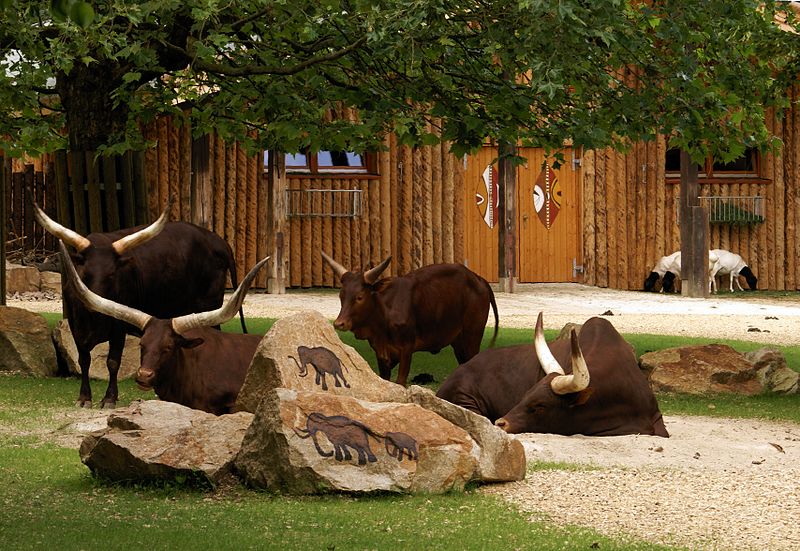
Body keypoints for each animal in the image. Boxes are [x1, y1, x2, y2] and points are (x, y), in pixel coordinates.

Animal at [32, 199, 244, 410]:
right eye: (85, 274)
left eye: (112, 275)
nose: (94, 304)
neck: (93, 320)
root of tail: (219, 242)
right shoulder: (75, 325)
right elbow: (84, 360)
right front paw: (84, 397)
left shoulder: (118, 327)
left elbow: (113, 361)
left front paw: (109, 398)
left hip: (209, 305)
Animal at [320, 252, 496, 386]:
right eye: (341, 296)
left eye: (359, 297)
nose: (339, 323)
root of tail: (479, 280)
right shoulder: (380, 353)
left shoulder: (406, 348)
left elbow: (400, 382)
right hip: (458, 342)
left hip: (472, 337)